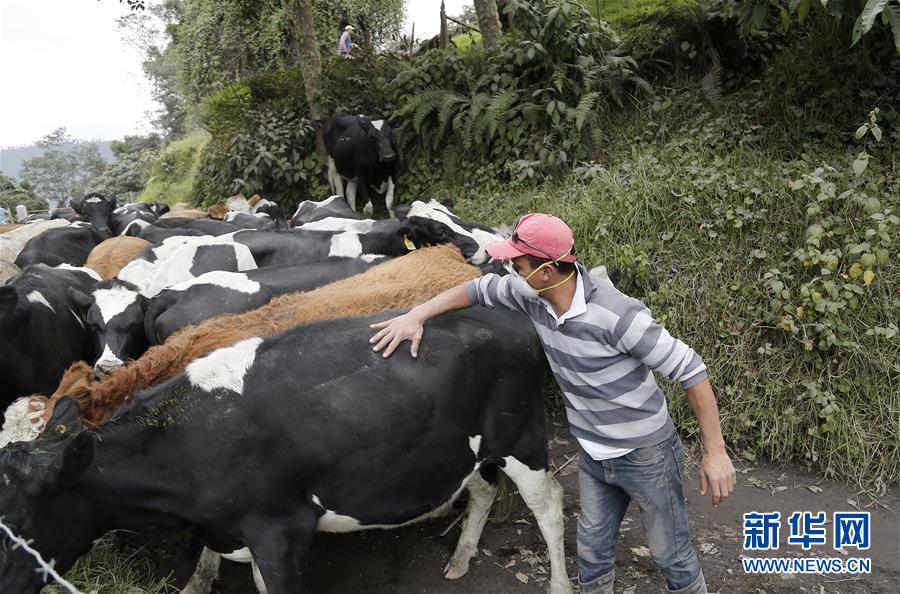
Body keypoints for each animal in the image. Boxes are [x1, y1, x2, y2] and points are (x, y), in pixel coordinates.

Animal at [0, 308, 568, 592]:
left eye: (19, 524)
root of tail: (506, 313)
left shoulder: (279, 531)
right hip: (469, 449)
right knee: (481, 492)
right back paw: (461, 557)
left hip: (522, 438)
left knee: (551, 507)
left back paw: (560, 584)